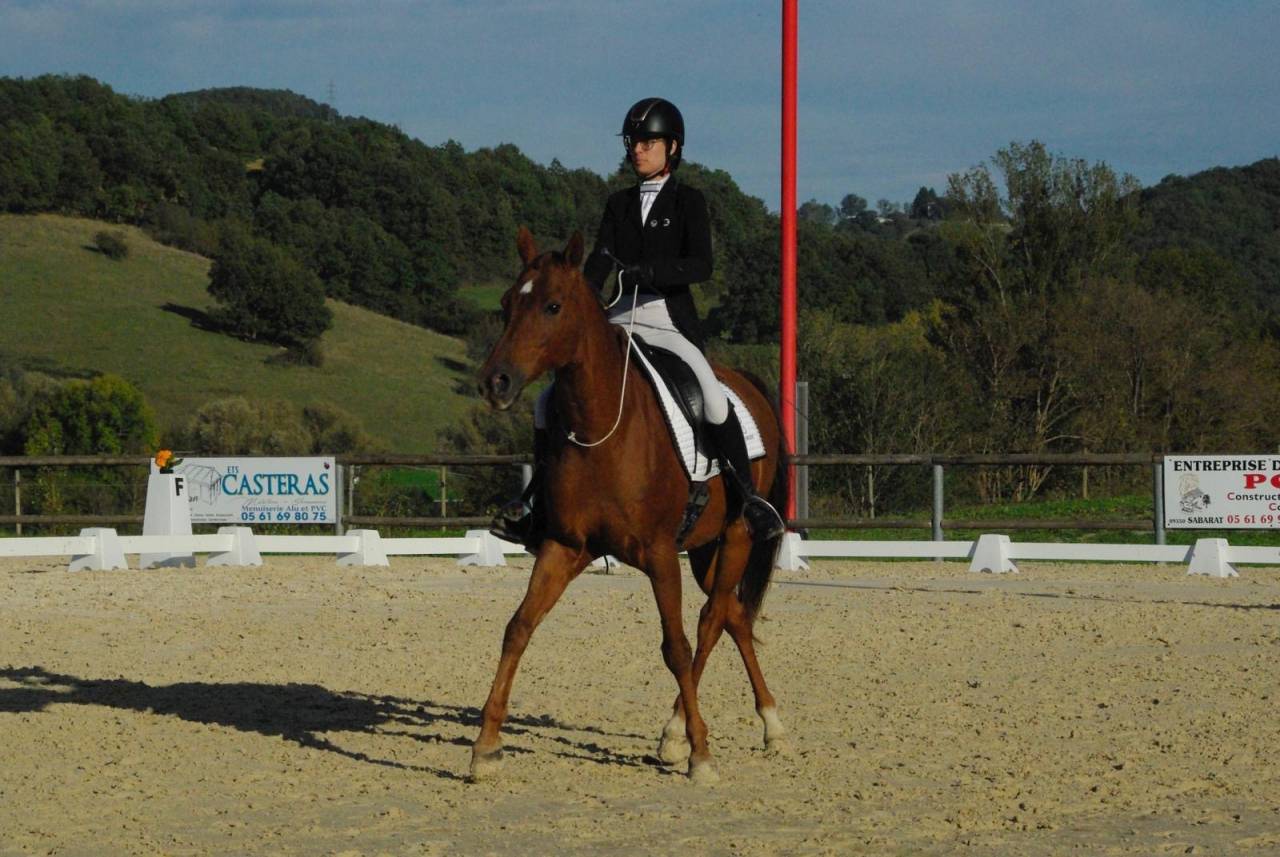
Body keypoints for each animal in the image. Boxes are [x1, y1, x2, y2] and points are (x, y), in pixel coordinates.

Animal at [472, 227, 789, 784]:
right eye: (508, 303)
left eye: (553, 306)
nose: (496, 383)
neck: (599, 425)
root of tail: (743, 382)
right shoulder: (563, 547)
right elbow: (518, 628)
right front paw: (486, 747)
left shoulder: (660, 555)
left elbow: (676, 646)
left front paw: (701, 755)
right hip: (705, 549)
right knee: (732, 614)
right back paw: (759, 724)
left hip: (735, 535)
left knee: (710, 620)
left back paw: (684, 735)